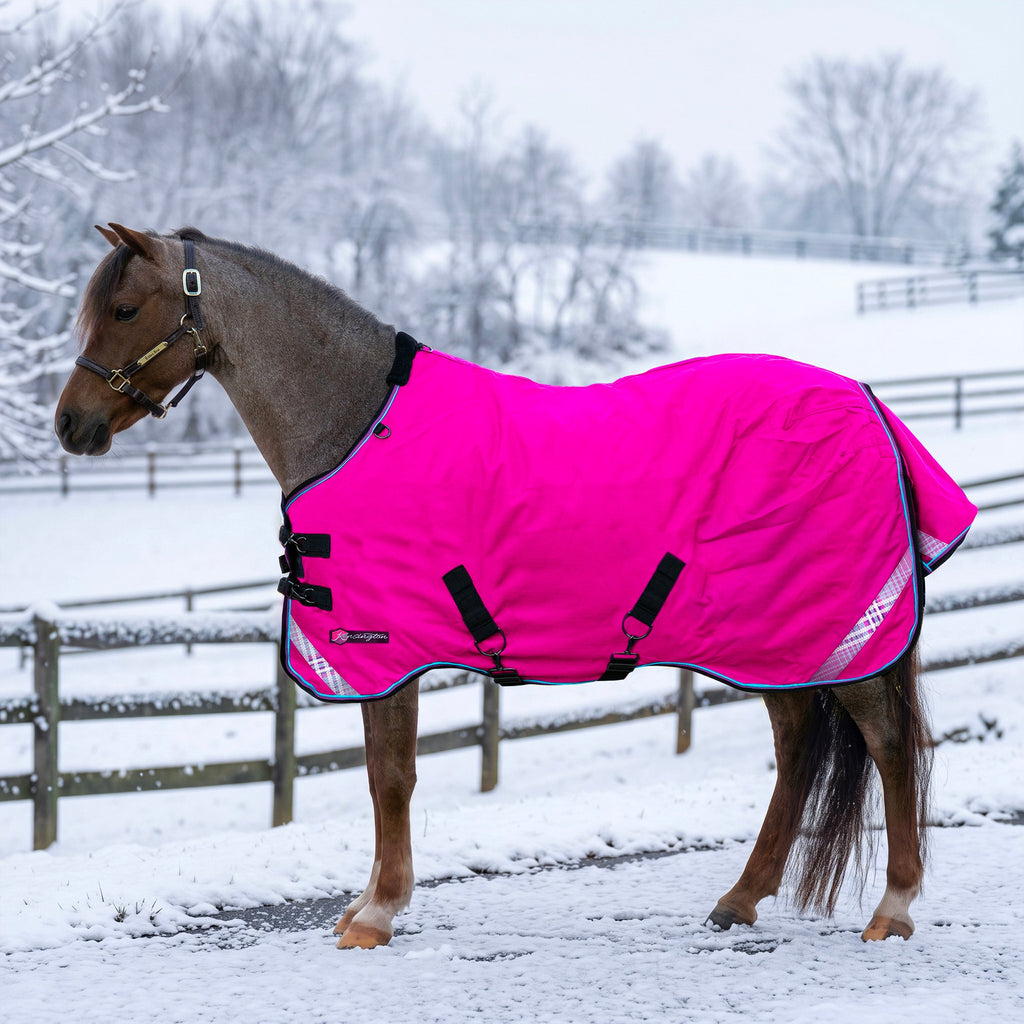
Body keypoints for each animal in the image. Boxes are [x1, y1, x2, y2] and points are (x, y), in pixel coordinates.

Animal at [56, 223, 962, 949]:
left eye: (126, 309)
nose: (70, 424)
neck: (356, 423)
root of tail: (866, 403)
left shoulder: (386, 648)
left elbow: (391, 775)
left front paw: (376, 915)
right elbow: (381, 773)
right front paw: (364, 904)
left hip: (840, 631)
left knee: (888, 744)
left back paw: (893, 908)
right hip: (776, 637)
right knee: (798, 746)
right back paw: (739, 900)